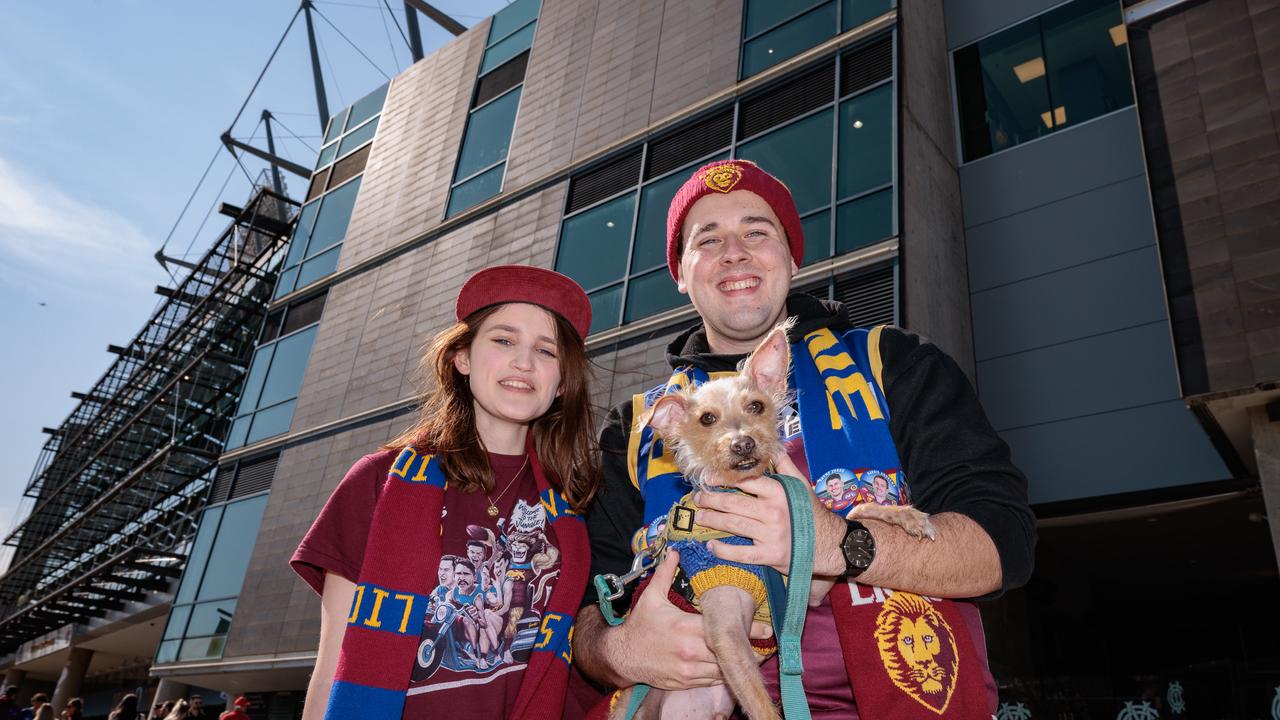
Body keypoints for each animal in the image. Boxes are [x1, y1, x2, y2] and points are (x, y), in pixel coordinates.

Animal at [614, 320, 936, 717]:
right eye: (707, 419)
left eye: (756, 406)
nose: (743, 443)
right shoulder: (727, 634)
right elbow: (763, 705)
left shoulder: (809, 584)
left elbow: (853, 511)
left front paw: (903, 515)